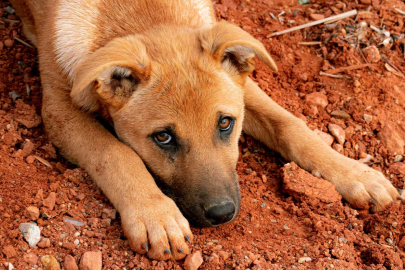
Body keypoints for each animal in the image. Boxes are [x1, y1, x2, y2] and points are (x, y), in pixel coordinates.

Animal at [11, 0, 400, 262]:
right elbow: (115, 152)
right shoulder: (59, 111)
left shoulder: (242, 88)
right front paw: (155, 214)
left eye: (225, 123)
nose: (222, 214)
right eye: (163, 137)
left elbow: (290, 124)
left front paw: (354, 173)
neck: (143, 14)